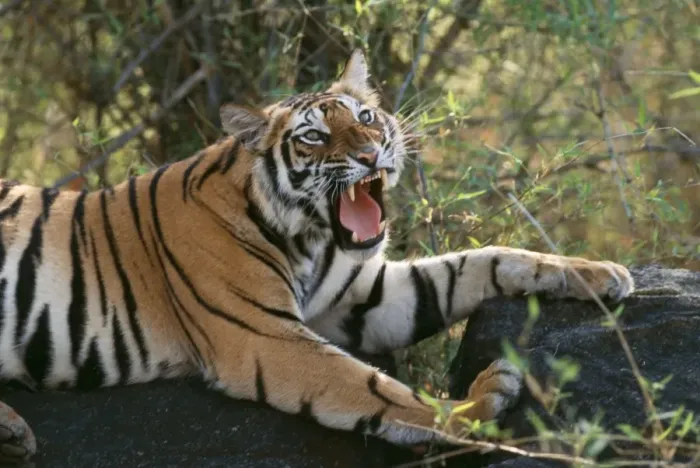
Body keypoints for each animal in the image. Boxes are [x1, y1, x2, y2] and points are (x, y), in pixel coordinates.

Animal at [0, 49, 634, 464]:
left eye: (366, 116)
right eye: (313, 137)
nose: (373, 152)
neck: (309, 237)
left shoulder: (362, 300)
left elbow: (482, 262)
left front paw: (597, 273)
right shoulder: (267, 338)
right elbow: (379, 390)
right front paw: (484, 402)